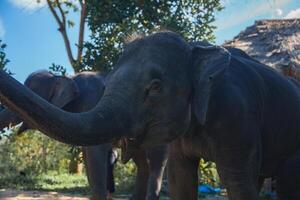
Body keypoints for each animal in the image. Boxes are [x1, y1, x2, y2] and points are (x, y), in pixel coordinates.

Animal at [0, 70, 168, 200]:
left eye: (29, 92)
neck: (65, 77)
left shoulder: (92, 103)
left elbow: (95, 153)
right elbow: (88, 156)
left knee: (156, 161)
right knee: (142, 162)